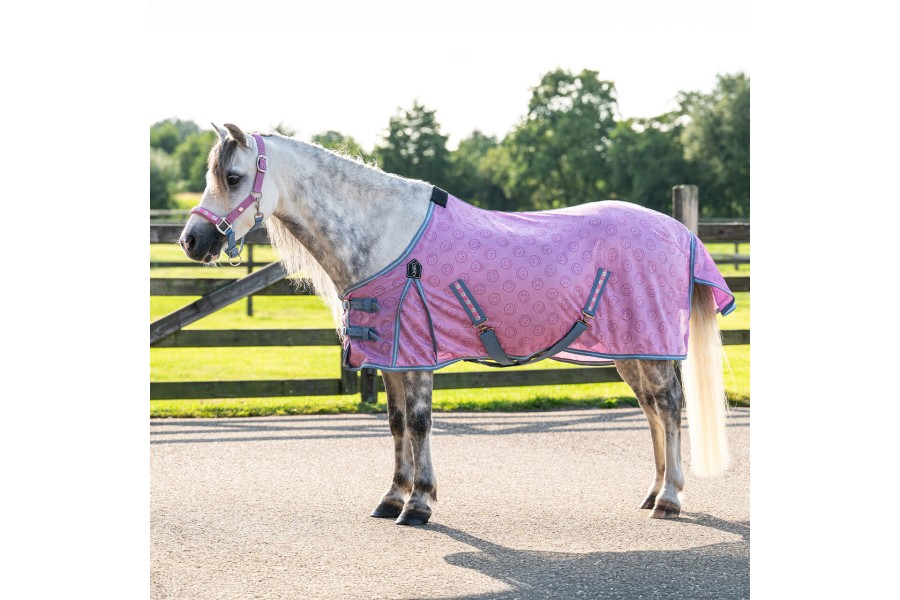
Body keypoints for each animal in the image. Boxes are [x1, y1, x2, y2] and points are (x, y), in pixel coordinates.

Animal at [178, 123, 734, 526]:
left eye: (233, 177)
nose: (191, 240)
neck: (386, 235)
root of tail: (679, 230)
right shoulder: (392, 356)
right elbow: (396, 424)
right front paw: (392, 498)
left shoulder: (417, 352)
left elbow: (420, 423)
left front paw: (419, 504)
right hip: (632, 350)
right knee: (651, 411)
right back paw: (652, 493)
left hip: (652, 346)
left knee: (669, 407)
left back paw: (671, 500)